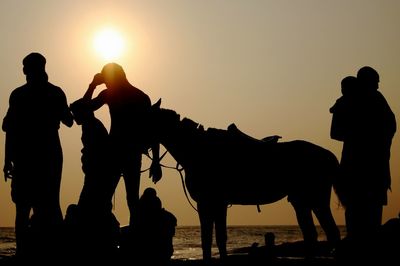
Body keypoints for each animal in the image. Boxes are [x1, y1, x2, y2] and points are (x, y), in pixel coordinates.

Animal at [150, 102, 340, 262]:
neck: (198, 150)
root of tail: (329, 155)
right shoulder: (211, 204)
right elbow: (211, 239)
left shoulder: (212, 203)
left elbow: (216, 238)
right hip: (301, 201)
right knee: (312, 234)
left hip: (318, 200)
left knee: (331, 232)